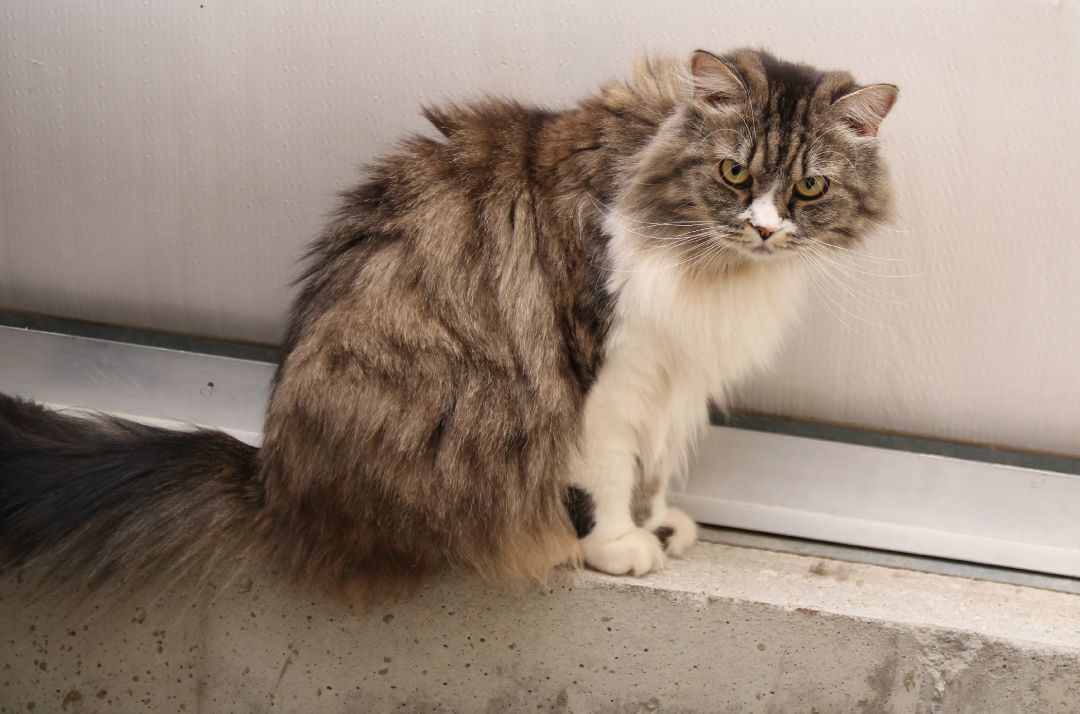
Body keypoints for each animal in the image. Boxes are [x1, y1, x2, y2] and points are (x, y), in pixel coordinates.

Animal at [0, 47, 894, 600]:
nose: (766, 230)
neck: (718, 268)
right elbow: (611, 471)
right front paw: (618, 544)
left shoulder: (676, 373)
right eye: (735, 173)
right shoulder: (611, 370)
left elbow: (651, 469)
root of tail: (270, 482)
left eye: (809, 188)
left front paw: (659, 522)